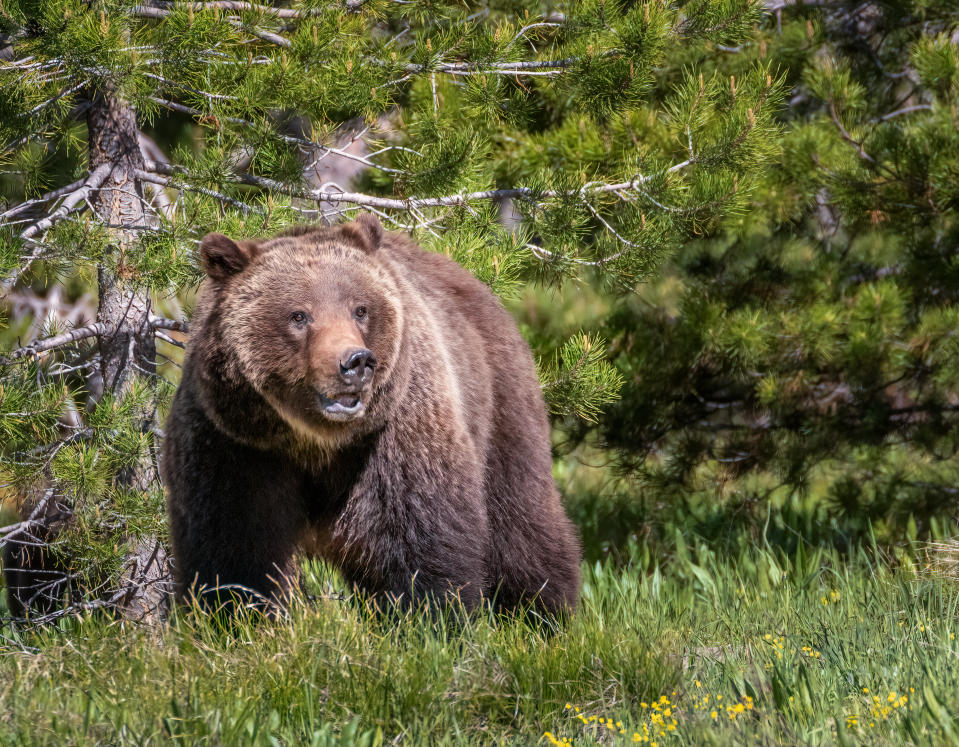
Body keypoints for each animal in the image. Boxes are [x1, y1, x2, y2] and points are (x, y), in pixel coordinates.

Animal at [161, 213, 580, 616]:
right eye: (299, 315)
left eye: (360, 309)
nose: (355, 362)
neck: (313, 441)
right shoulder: (234, 441)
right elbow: (233, 549)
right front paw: (233, 615)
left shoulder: (397, 434)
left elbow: (420, 539)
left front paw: (429, 618)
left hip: (500, 404)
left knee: (520, 522)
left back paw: (541, 613)